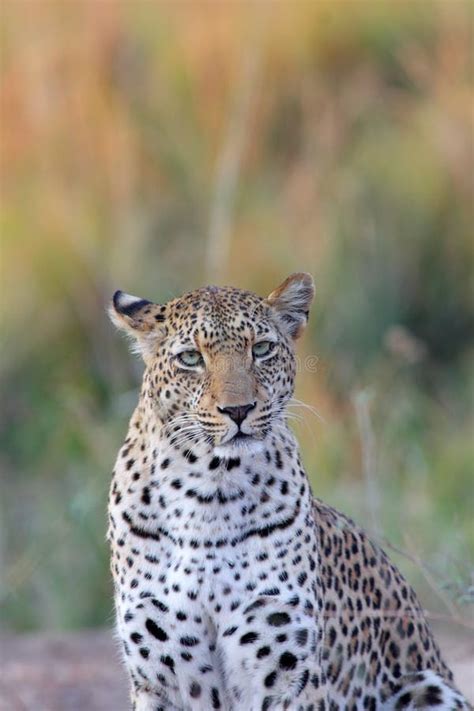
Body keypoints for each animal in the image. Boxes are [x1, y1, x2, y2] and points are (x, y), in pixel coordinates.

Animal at [108, 274, 470, 711]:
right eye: (191, 358)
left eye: (261, 350)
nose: (238, 410)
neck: (208, 489)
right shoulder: (160, 675)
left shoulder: (287, 669)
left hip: (429, 686)